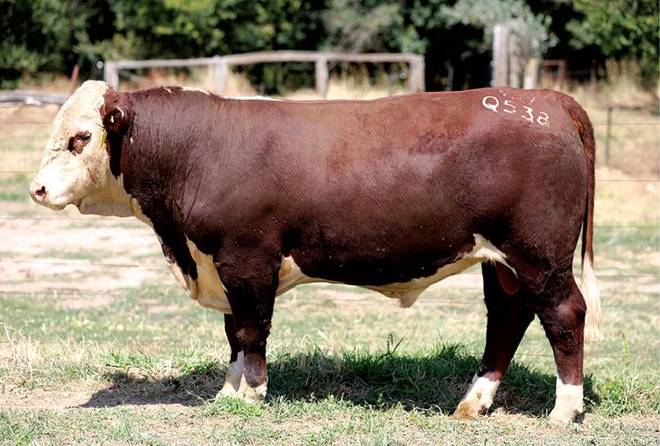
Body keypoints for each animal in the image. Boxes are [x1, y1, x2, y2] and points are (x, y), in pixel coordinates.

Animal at [30, 80, 602, 424]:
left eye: (81, 138)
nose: (36, 189)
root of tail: (546, 100)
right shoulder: (224, 266)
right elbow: (233, 333)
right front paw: (228, 392)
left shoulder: (247, 258)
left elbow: (250, 331)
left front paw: (253, 394)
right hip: (502, 262)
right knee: (507, 317)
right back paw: (472, 403)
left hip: (539, 255)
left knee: (564, 313)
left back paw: (564, 409)